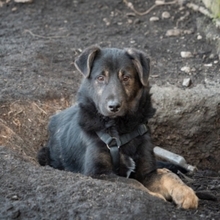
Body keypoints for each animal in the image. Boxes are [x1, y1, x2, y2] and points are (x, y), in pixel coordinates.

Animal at [37, 45, 198, 209]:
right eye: (100, 78)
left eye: (126, 78)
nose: (114, 106)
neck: (119, 130)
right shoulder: (98, 174)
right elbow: (132, 183)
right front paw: (156, 196)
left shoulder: (147, 172)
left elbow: (167, 176)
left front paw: (185, 192)